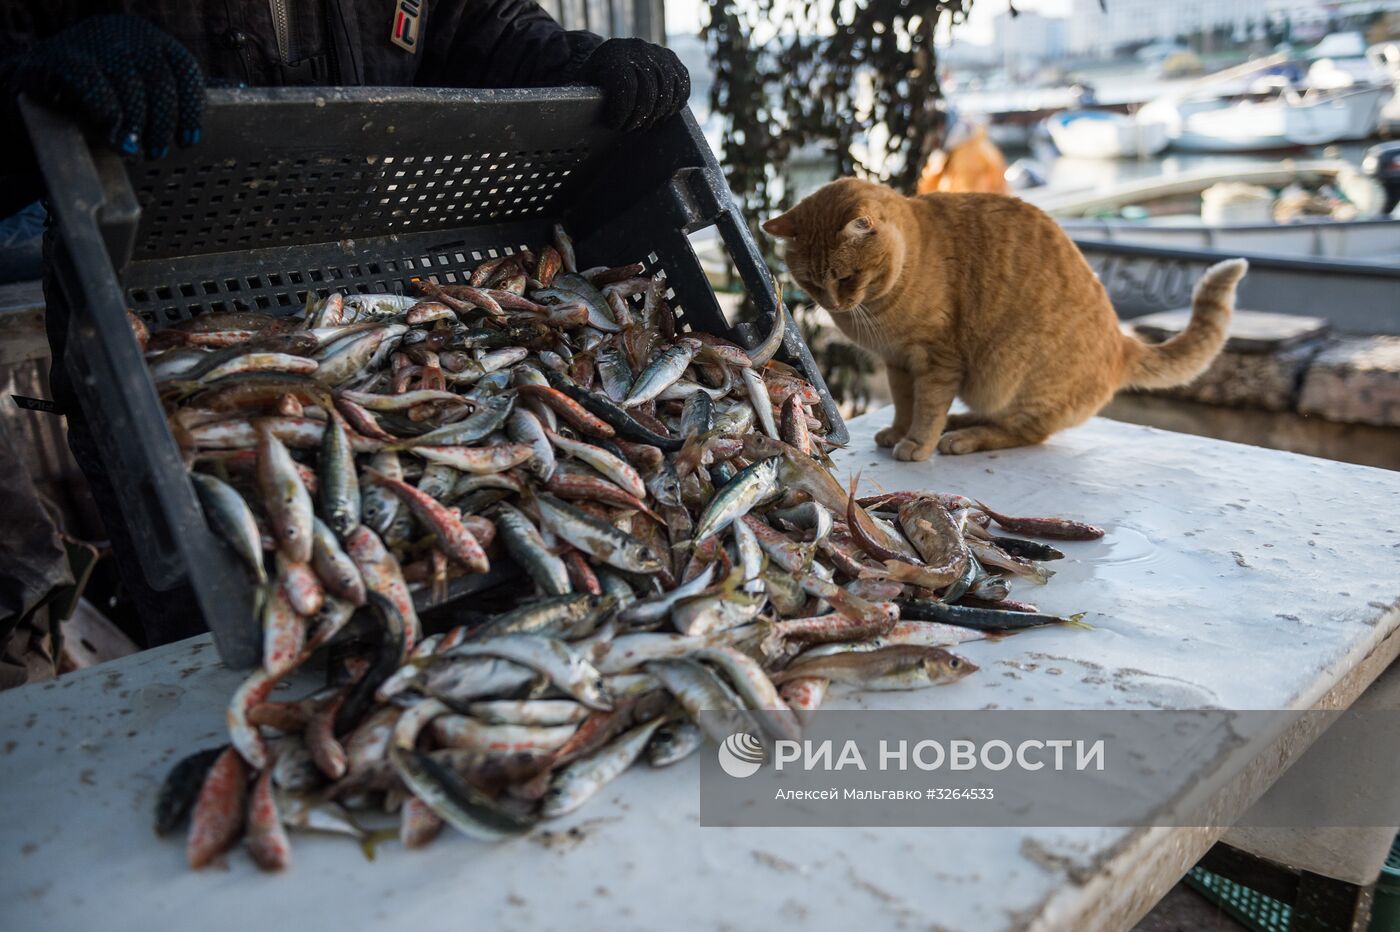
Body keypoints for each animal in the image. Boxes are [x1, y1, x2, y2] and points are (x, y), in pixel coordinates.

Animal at [767, 176, 1248, 459]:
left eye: (846, 278)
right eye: (811, 282)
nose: (833, 305)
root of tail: (1122, 342)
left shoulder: (937, 362)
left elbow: (927, 407)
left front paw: (917, 443)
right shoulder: (898, 364)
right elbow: (906, 405)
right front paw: (899, 431)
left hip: (1009, 374)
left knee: (1024, 432)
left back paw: (960, 438)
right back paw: (961, 424)